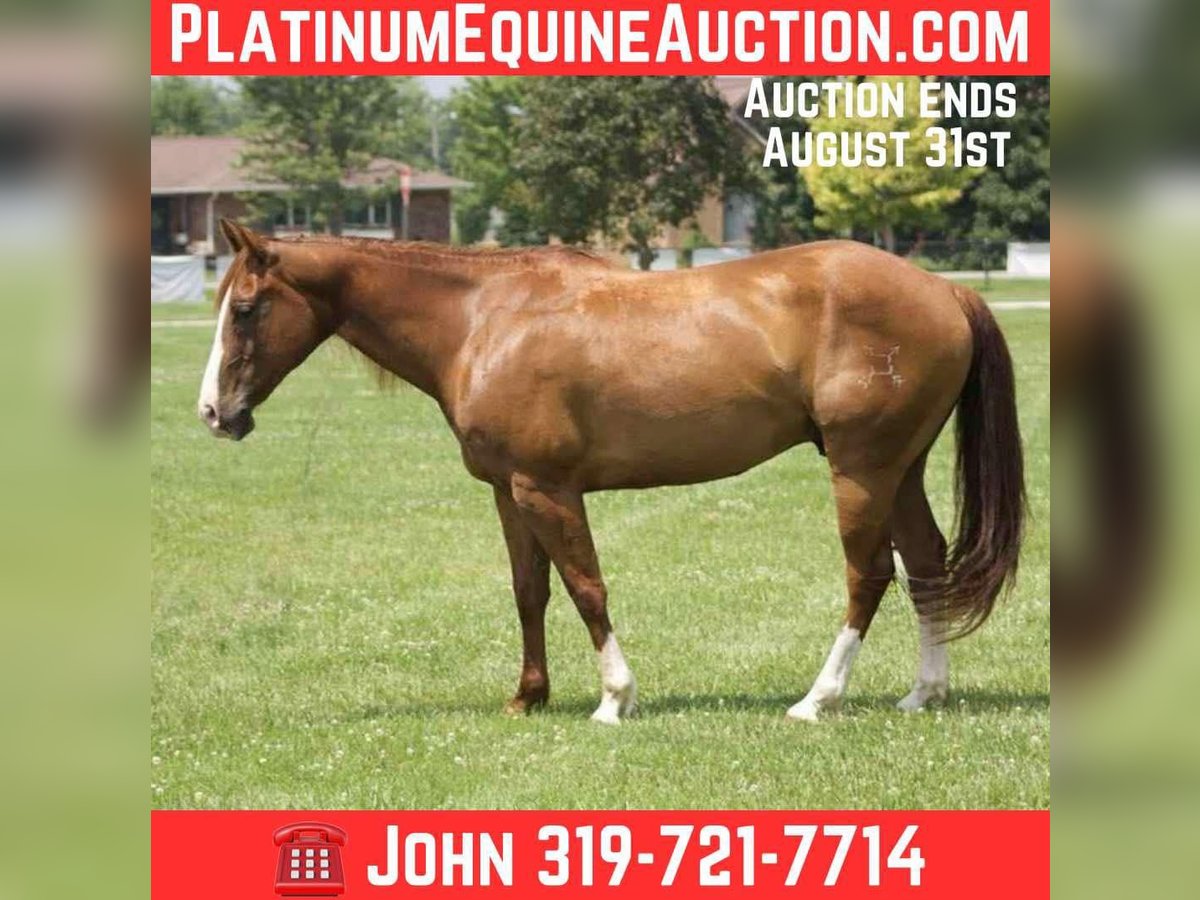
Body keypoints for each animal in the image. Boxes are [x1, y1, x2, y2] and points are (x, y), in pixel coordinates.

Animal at [199, 218, 1024, 724]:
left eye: (245, 309)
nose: (214, 412)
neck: (482, 319)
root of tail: (944, 288)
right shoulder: (509, 493)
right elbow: (530, 592)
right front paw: (528, 697)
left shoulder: (548, 489)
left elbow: (585, 587)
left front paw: (613, 698)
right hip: (901, 469)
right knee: (926, 564)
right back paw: (925, 691)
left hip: (861, 469)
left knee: (869, 574)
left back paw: (818, 699)